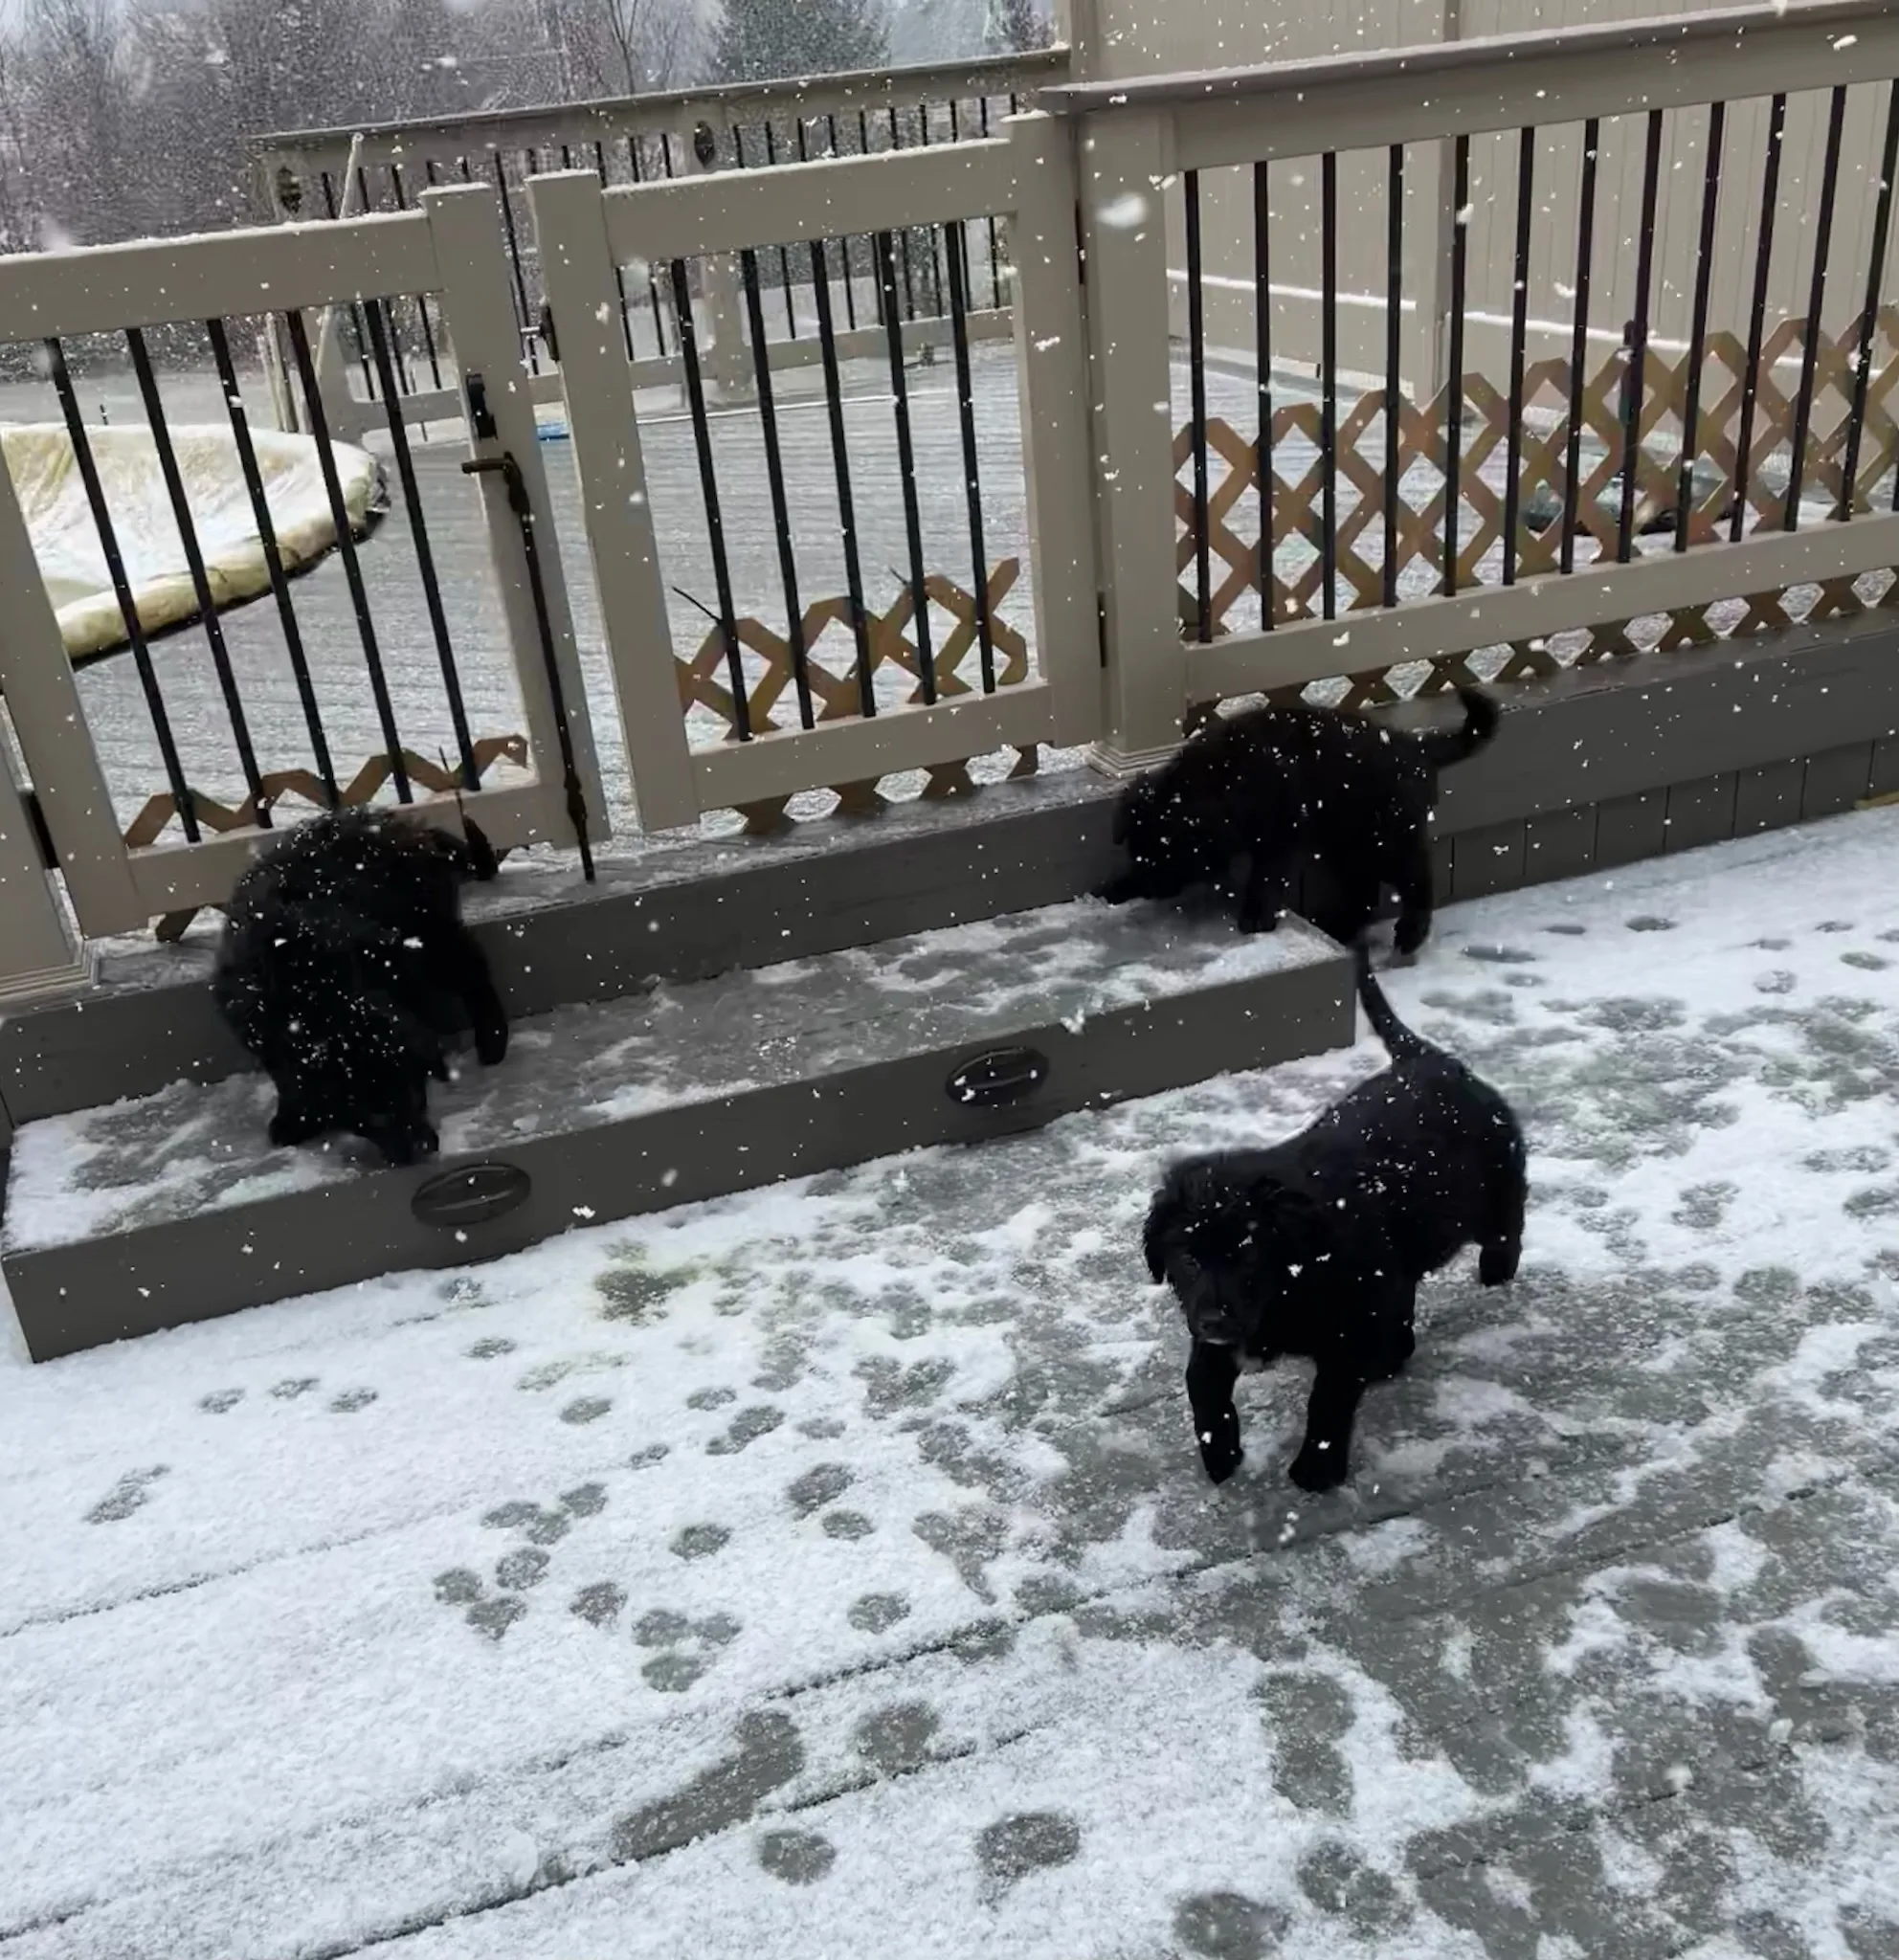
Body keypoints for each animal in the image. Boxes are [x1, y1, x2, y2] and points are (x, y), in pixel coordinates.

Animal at [213, 807, 506, 1166]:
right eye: (371, 1116)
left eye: (412, 1093)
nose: (422, 1149)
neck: (312, 996)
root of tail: (403, 825)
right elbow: (285, 1077)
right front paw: (294, 1119)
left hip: (433, 935)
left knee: (474, 975)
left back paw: (492, 1043)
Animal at [1096, 688, 1499, 952]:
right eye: (1138, 853)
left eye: (1168, 855)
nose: (1149, 886)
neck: (1223, 779)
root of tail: (1416, 746)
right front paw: (1115, 888)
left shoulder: (1278, 837)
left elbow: (1265, 878)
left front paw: (1256, 917)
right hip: (1347, 841)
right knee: (1365, 893)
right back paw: (1338, 927)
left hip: (1385, 836)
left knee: (1416, 877)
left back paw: (1410, 932)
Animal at [1143, 940, 1526, 1492]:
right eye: (1189, 1261)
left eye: (1247, 1258)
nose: (1215, 1320)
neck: (1294, 1274)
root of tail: (1435, 1061)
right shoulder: (1213, 1324)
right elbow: (1202, 1381)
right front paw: (1220, 1453)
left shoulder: (1346, 1324)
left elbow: (1328, 1400)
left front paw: (1316, 1469)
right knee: (1405, 1290)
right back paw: (1393, 1354)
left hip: (1496, 1185)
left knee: (1507, 1226)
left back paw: (1496, 1270)